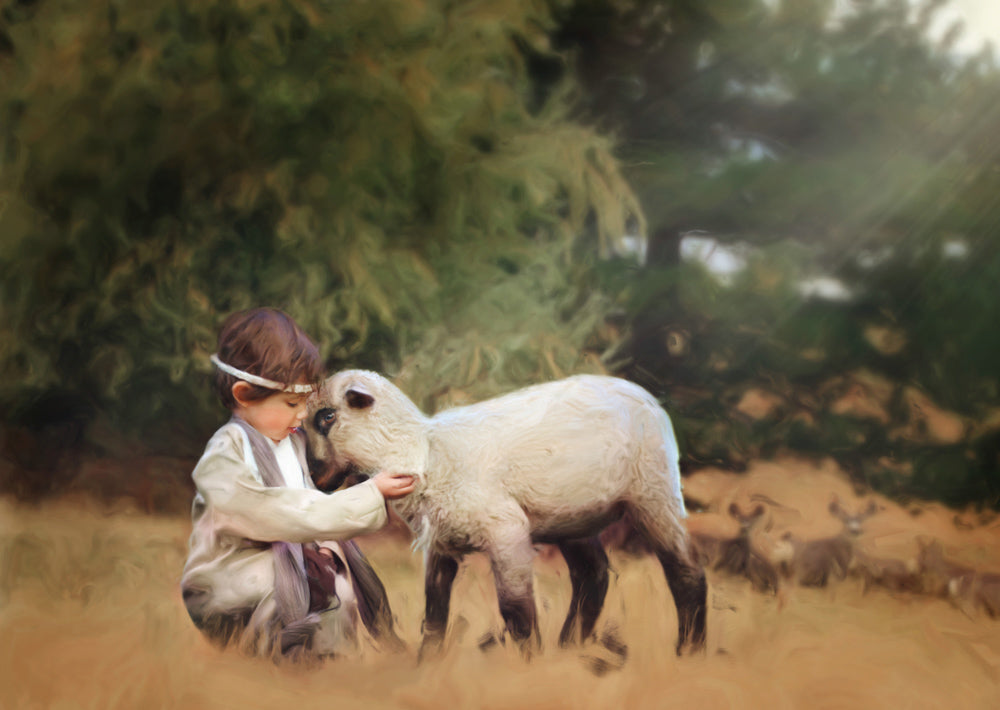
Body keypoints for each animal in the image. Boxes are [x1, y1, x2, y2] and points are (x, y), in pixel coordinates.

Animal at [304, 370, 707, 659]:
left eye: (327, 416)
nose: (316, 479)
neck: (425, 452)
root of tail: (647, 396)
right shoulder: (441, 544)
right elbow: (435, 610)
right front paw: (427, 665)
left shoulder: (506, 531)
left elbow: (516, 609)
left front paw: (528, 666)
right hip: (573, 517)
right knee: (592, 575)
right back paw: (569, 650)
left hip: (654, 493)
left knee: (685, 569)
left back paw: (689, 651)